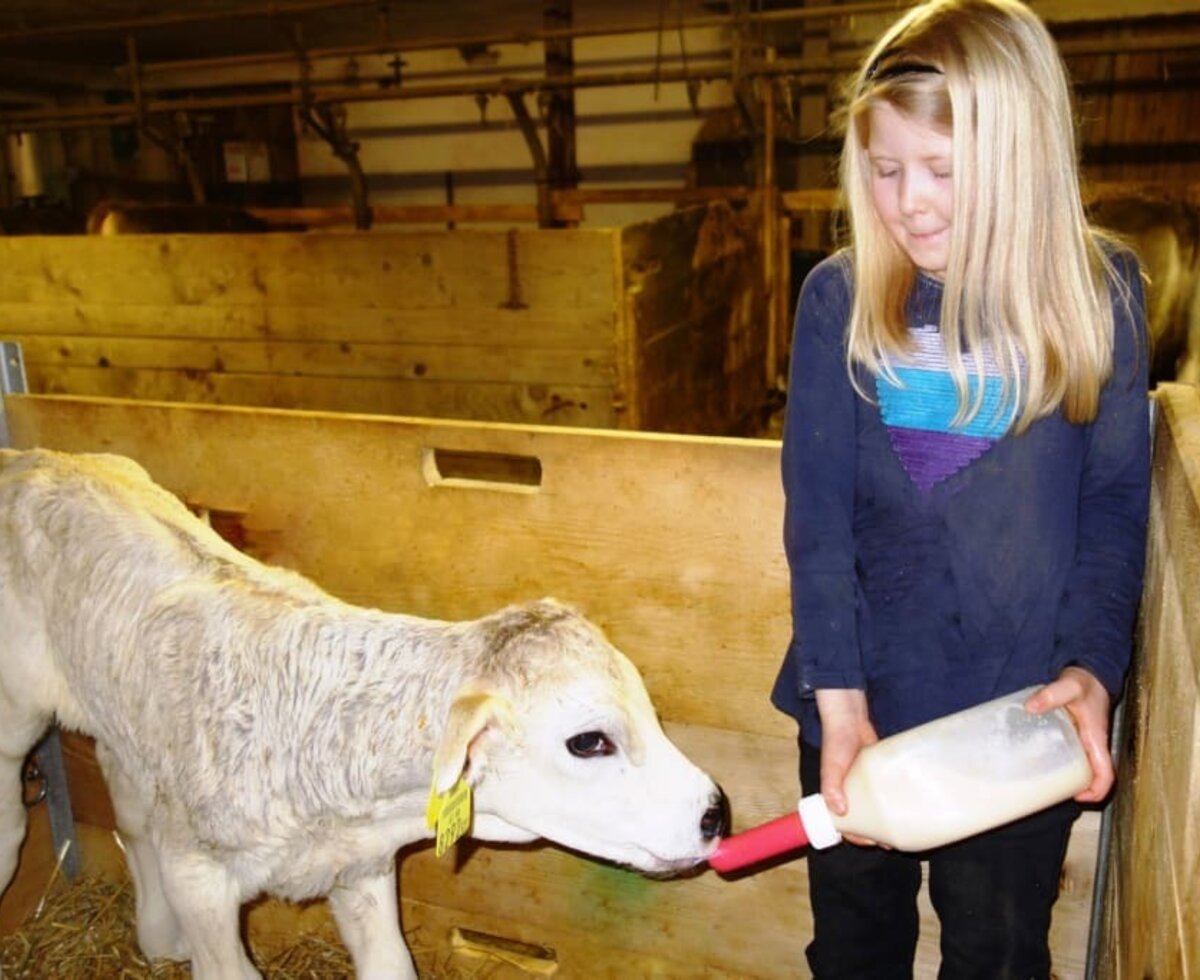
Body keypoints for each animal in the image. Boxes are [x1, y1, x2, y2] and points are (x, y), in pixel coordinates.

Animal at [0, 446, 720, 974]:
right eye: (588, 741)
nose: (714, 812)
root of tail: (37, 456)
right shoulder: (200, 878)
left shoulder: (361, 866)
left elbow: (391, 964)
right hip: (19, 713)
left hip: (123, 724)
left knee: (130, 812)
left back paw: (156, 939)